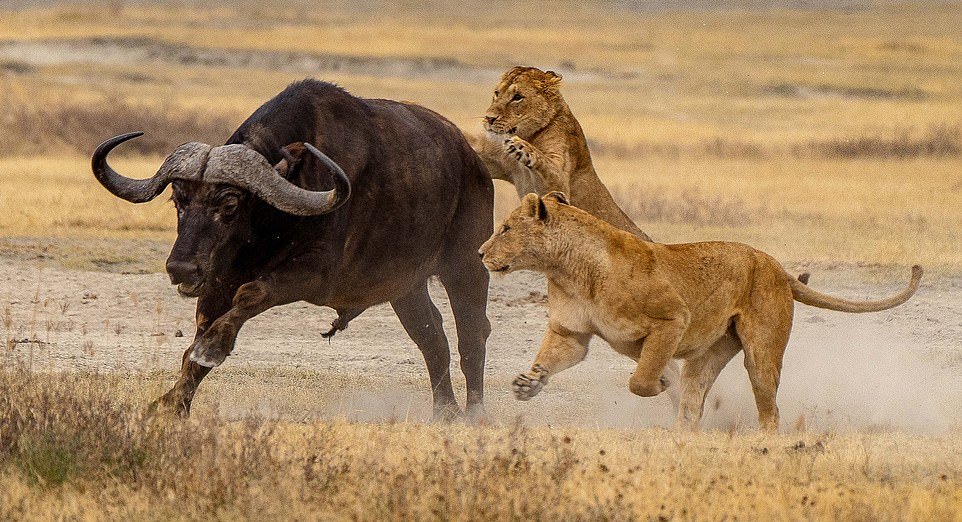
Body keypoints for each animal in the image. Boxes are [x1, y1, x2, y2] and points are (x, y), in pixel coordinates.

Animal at [93, 78, 492, 418]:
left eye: (229, 202)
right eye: (178, 199)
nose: (180, 268)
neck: (271, 221)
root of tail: (473, 162)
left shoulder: (314, 274)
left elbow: (250, 295)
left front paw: (212, 350)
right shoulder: (218, 279)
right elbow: (200, 334)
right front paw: (172, 402)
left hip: (467, 267)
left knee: (472, 335)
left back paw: (474, 413)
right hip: (406, 287)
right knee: (432, 336)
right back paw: (445, 411)